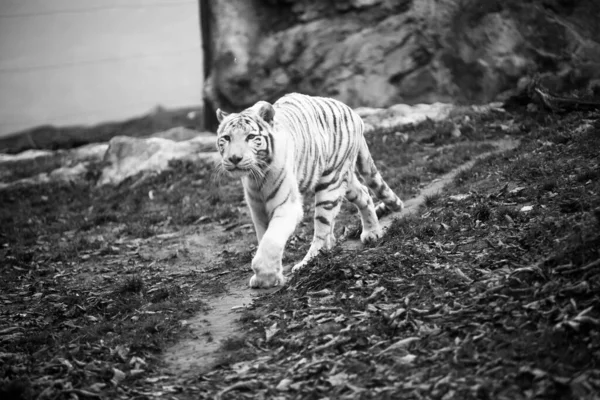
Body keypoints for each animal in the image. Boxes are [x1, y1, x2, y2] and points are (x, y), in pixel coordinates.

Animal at [216, 93, 404, 288]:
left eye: (251, 136)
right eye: (227, 138)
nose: (234, 158)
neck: (257, 175)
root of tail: (353, 112)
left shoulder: (287, 206)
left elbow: (271, 239)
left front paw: (265, 276)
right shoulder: (257, 209)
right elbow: (263, 237)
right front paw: (270, 276)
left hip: (330, 182)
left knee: (321, 229)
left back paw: (308, 262)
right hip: (344, 179)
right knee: (364, 193)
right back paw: (372, 233)